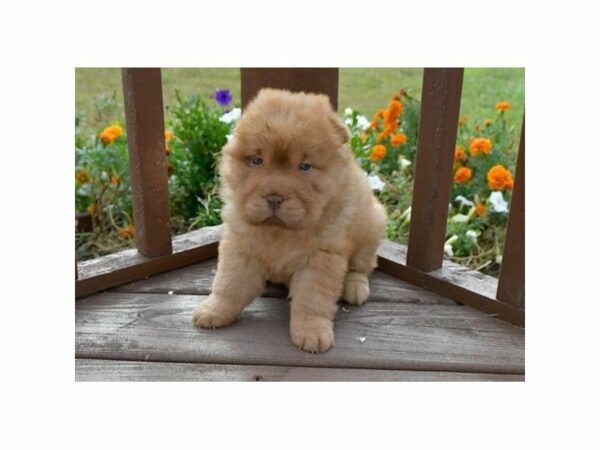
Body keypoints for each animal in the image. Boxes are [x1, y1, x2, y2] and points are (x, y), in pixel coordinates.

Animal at [195, 88, 386, 352]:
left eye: (304, 167)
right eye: (257, 161)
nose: (274, 198)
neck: (281, 232)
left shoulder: (320, 259)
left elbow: (311, 300)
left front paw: (313, 333)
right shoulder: (240, 246)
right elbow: (228, 284)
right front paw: (213, 310)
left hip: (370, 226)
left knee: (363, 266)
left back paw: (355, 287)